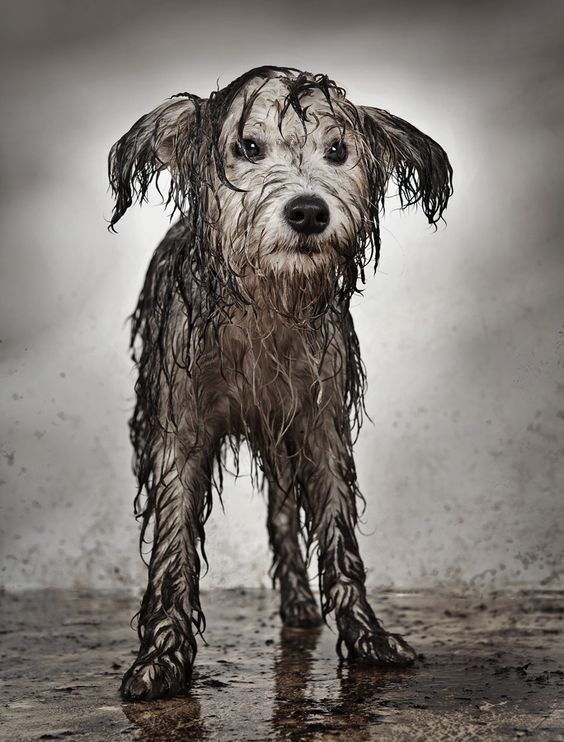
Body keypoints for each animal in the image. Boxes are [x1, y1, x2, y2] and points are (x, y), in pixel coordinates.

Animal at [108, 65, 454, 704]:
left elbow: (340, 538)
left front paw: (366, 637)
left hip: (283, 438)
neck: (267, 301)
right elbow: (172, 548)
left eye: (337, 151)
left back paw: (297, 602)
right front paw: (161, 659)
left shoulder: (319, 425)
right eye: (249, 147)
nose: (309, 211)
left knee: (281, 517)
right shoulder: (180, 431)